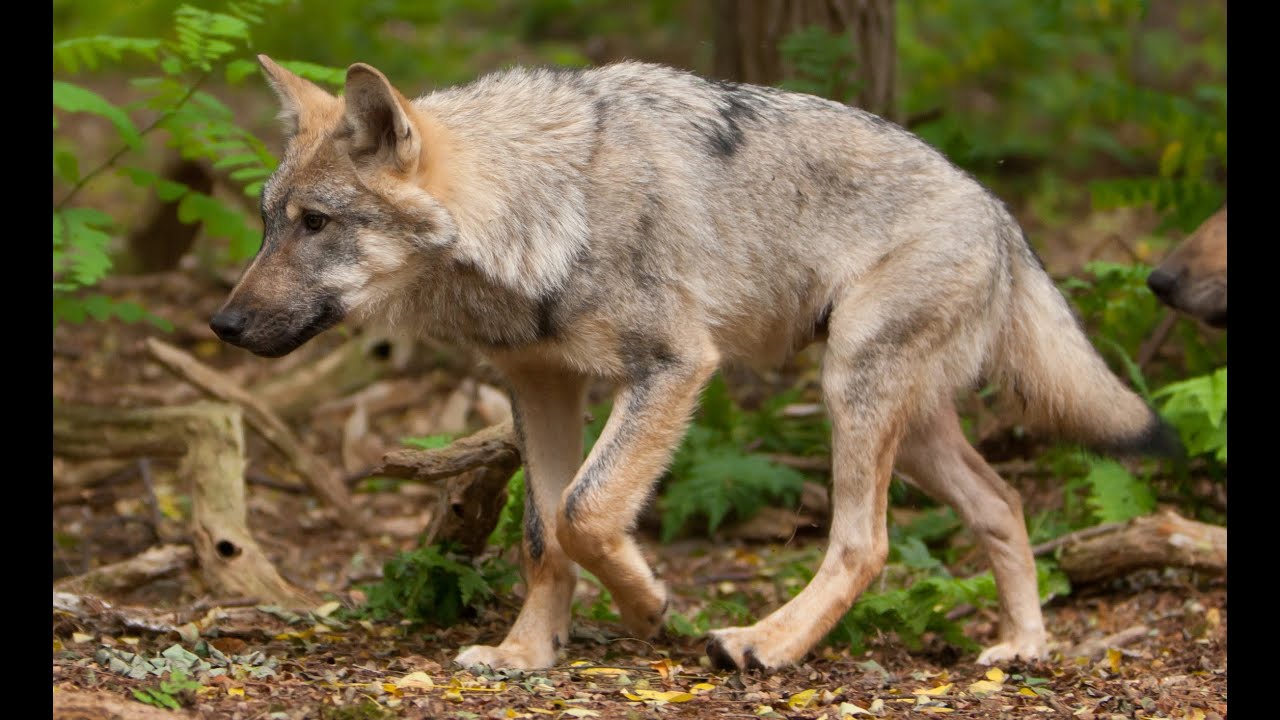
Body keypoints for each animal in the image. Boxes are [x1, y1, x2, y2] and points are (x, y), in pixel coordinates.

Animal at [211, 56, 1180, 672]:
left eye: (316, 224)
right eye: (264, 223)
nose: (222, 323)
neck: (542, 206)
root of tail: (999, 211)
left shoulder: (674, 369)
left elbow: (587, 512)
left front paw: (648, 606)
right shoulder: (541, 385)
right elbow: (541, 535)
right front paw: (526, 653)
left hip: (852, 392)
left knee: (865, 543)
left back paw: (766, 645)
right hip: (908, 425)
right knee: (1003, 504)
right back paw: (1024, 648)